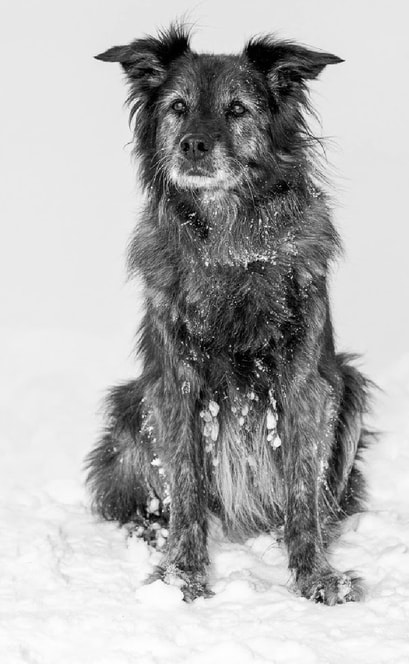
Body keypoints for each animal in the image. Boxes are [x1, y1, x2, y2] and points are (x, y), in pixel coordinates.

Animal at [86, 24, 370, 608]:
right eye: (177, 107)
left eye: (237, 109)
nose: (194, 144)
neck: (230, 245)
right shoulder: (173, 384)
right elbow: (187, 489)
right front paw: (182, 576)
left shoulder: (308, 385)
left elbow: (303, 491)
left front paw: (316, 575)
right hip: (130, 406)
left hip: (351, 387)